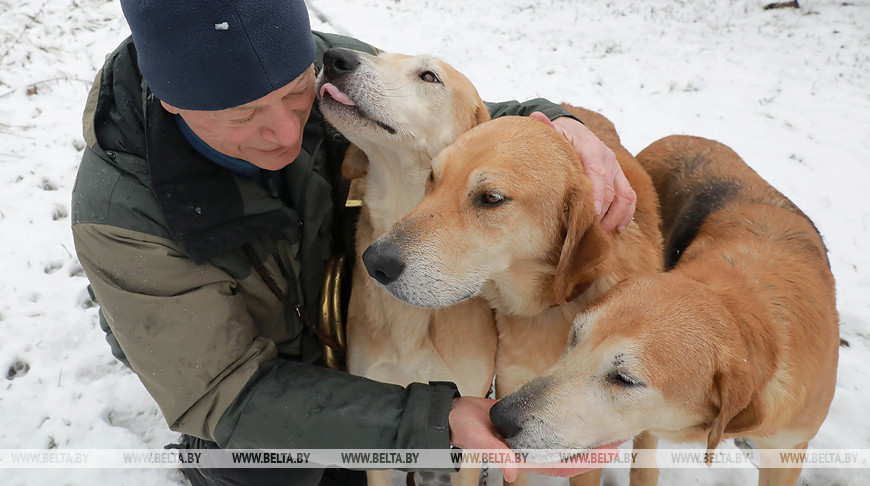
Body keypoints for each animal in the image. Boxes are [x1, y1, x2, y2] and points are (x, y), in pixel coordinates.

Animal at [488, 134, 840, 486]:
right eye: (574, 337)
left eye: (625, 379)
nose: (498, 417)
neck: (742, 309)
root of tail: (679, 137)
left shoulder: (788, 449)